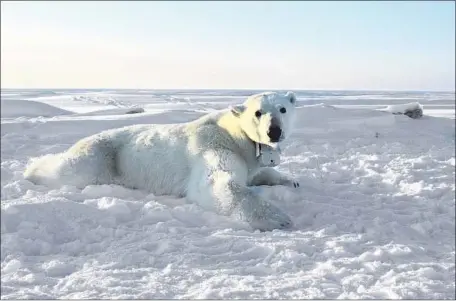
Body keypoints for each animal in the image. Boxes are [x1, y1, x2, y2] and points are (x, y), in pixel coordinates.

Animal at [24, 91, 300, 230]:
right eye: (258, 112)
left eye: (283, 109)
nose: (274, 131)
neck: (234, 135)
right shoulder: (214, 145)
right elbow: (217, 183)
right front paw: (279, 218)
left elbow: (259, 173)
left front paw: (291, 181)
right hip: (102, 157)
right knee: (69, 169)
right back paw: (32, 169)